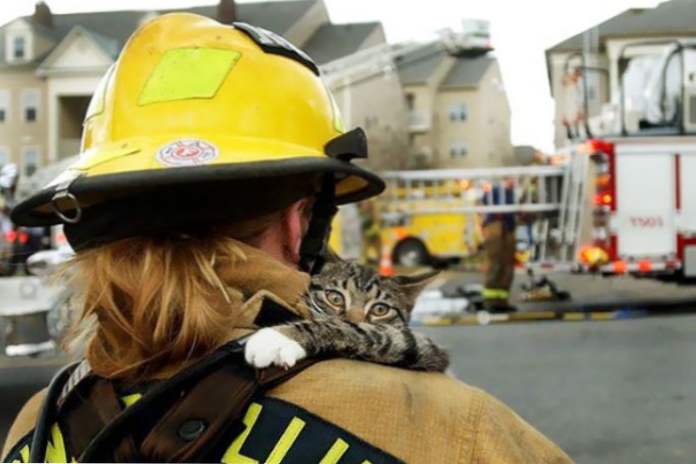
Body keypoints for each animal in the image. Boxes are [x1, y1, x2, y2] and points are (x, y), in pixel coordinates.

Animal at [247, 260, 448, 374]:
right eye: (335, 298)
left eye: (380, 309)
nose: (353, 320)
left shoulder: (426, 347)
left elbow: (370, 332)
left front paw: (277, 338)